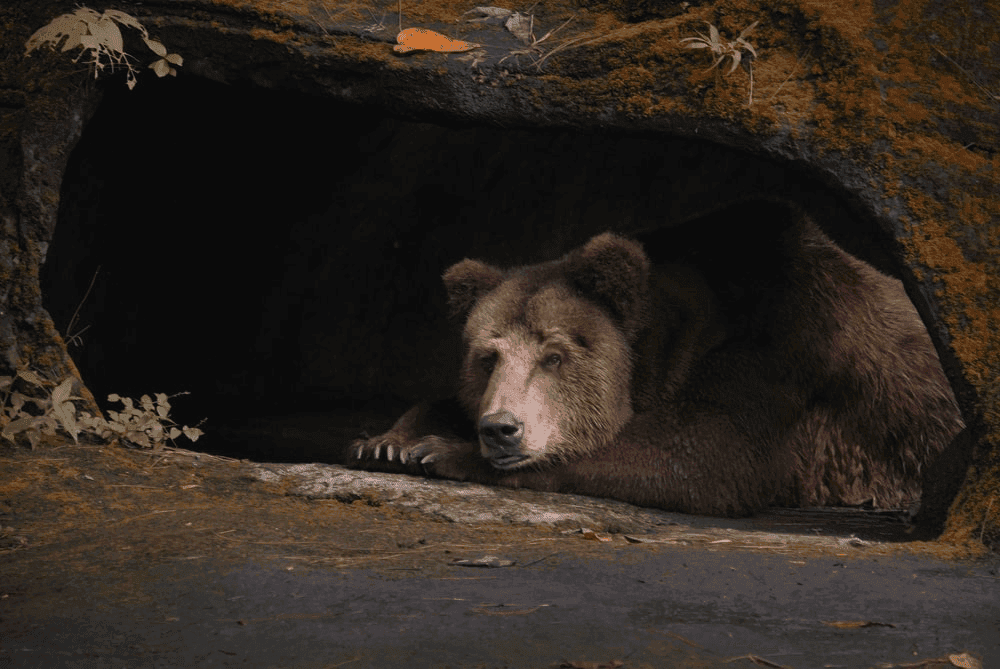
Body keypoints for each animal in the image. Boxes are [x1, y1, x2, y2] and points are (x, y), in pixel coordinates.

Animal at [349, 200, 964, 516]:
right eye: (485, 357)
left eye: (555, 354)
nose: (501, 429)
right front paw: (387, 441)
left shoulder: (783, 349)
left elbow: (698, 456)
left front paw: (440, 451)